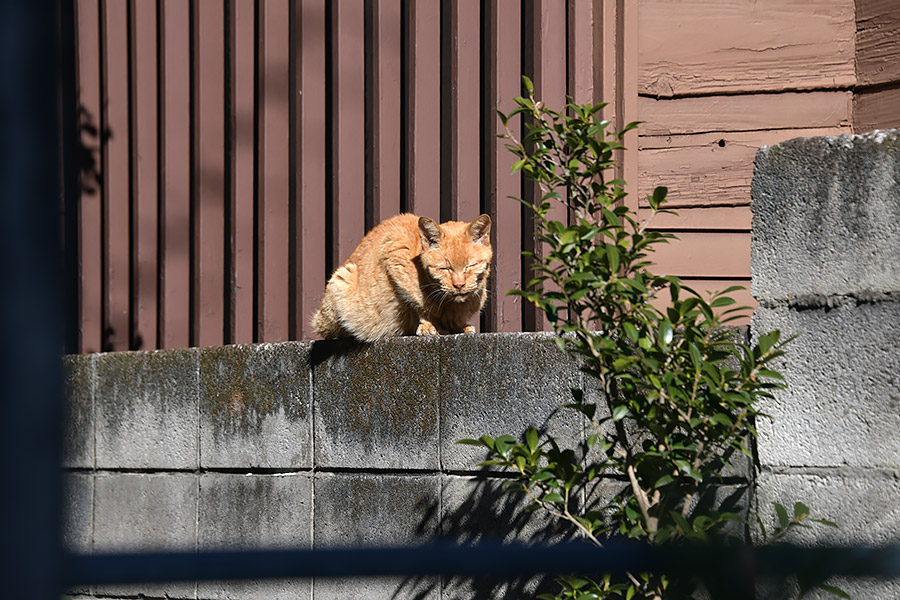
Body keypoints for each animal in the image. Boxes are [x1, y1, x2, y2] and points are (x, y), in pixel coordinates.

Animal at [310, 213, 492, 340]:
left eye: (470, 266)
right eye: (445, 268)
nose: (459, 285)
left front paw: (460, 326)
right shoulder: (394, 247)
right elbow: (419, 305)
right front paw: (429, 325)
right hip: (340, 281)